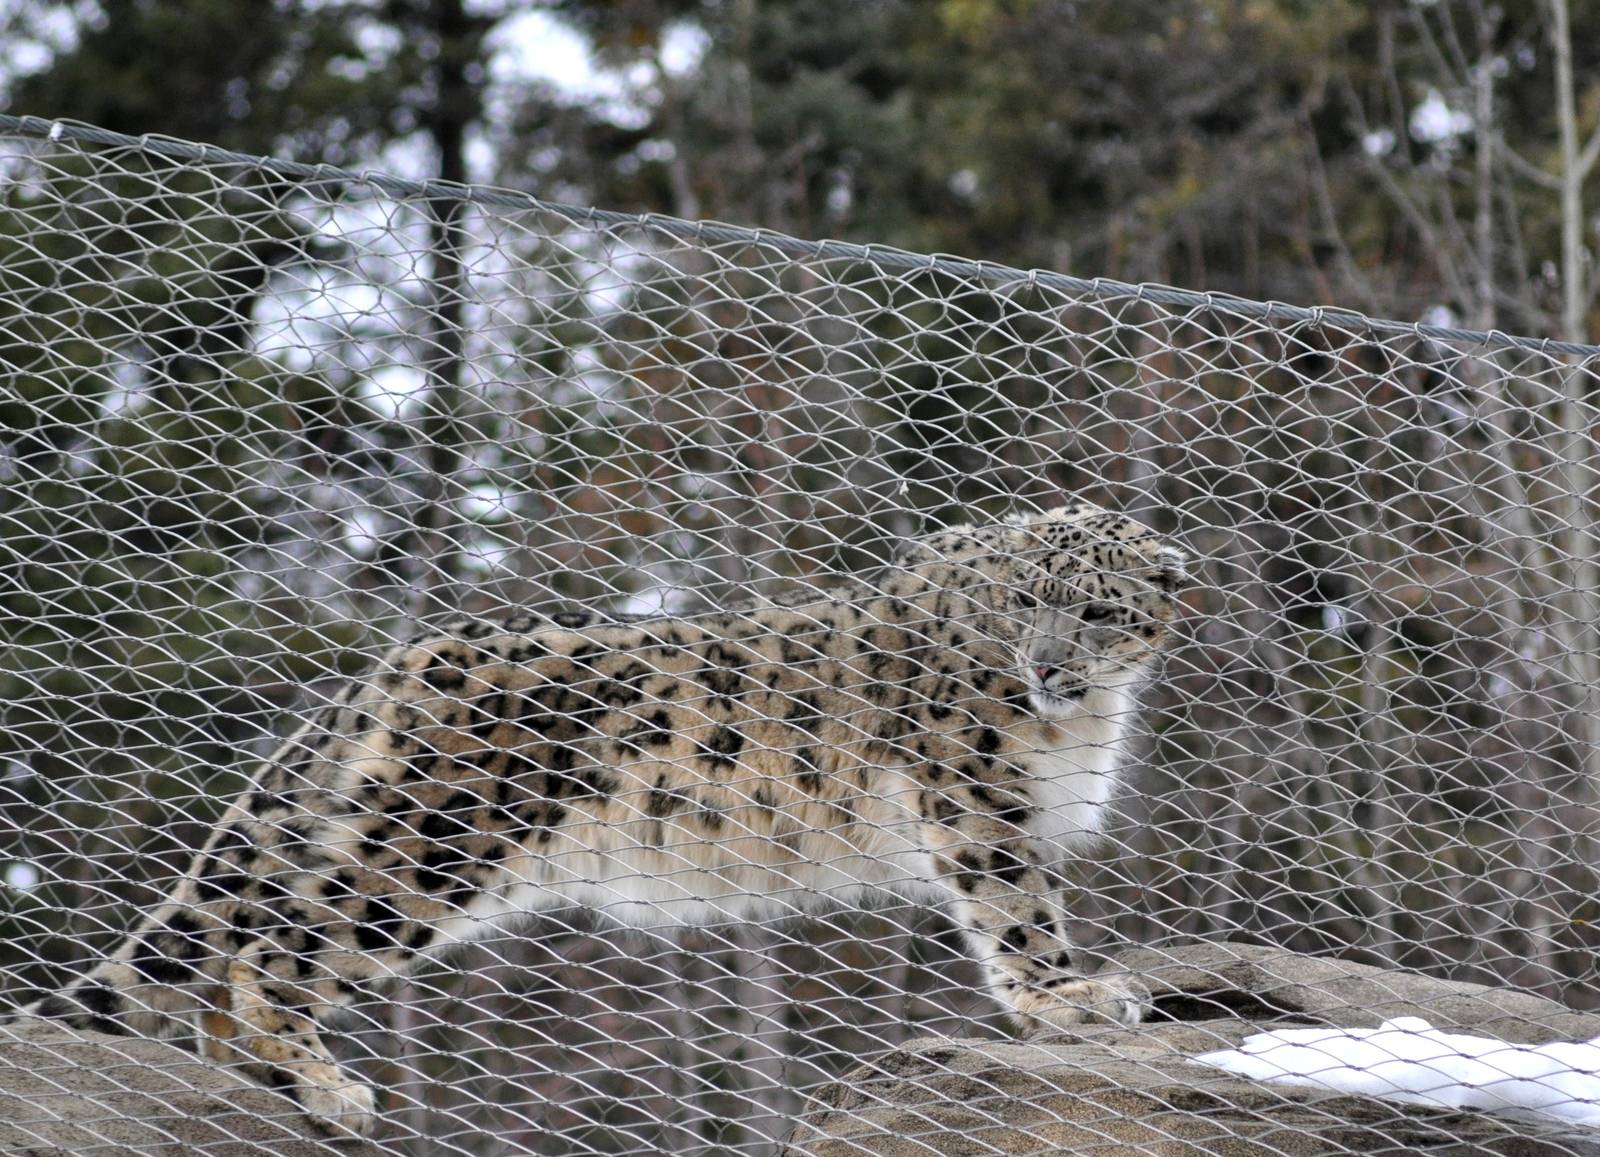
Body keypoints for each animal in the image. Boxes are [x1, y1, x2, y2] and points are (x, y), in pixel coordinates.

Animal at [12, 502, 1192, 1136]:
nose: (1048, 664)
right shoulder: (974, 792)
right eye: (1023, 602)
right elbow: (1014, 905)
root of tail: (396, 661)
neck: (1083, 718)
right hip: (439, 842)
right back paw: (319, 1080)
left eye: (1097, 610)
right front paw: (1069, 995)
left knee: (241, 948)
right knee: (279, 945)